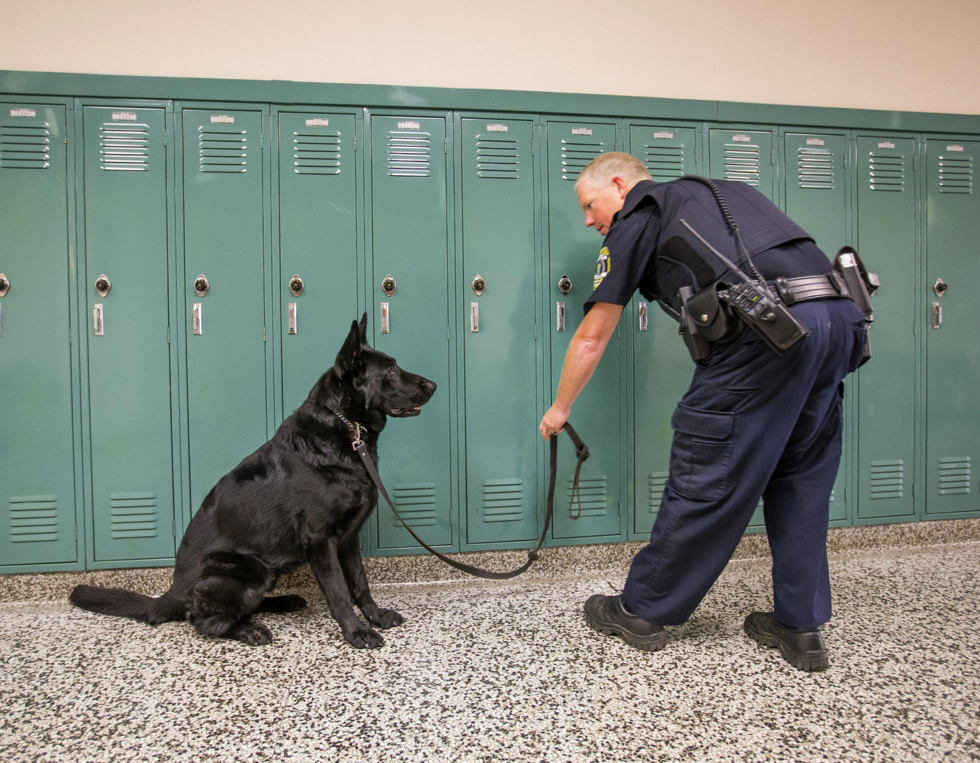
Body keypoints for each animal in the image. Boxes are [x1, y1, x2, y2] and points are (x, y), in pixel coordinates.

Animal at [70, 313, 436, 649]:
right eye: (390, 370)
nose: (433, 385)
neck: (344, 429)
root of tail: (173, 592)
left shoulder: (348, 538)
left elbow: (360, 584)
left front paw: (375, 616)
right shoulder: (320, 540)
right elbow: (338, 592)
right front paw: (356, 632)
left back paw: (283, 602)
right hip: (252, 568)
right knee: (203, 621)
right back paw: (248, 630)